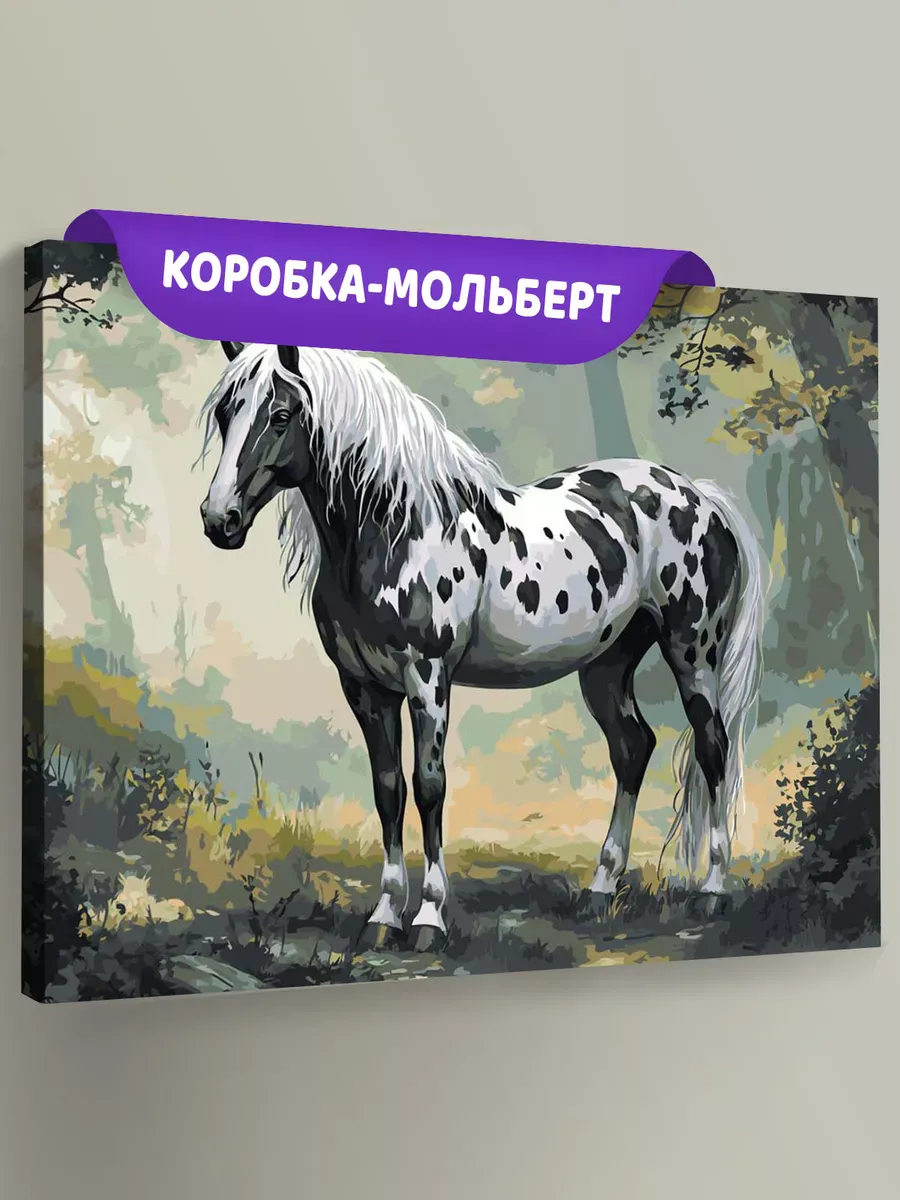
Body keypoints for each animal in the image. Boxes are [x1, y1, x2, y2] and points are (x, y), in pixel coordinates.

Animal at [199, 341, 766, 949]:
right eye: (224, 414)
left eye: (281, 416)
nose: (218, 519)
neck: (397, 530)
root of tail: (701, 496)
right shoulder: (365, 688)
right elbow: (388, 791)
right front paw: (383, 916)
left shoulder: (427, 677)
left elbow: (429, 786)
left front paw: (428, 918)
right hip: (606, 665)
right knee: (632, 747)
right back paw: (600, 890)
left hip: (692, 651)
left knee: (711, 747)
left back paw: (712, 891)